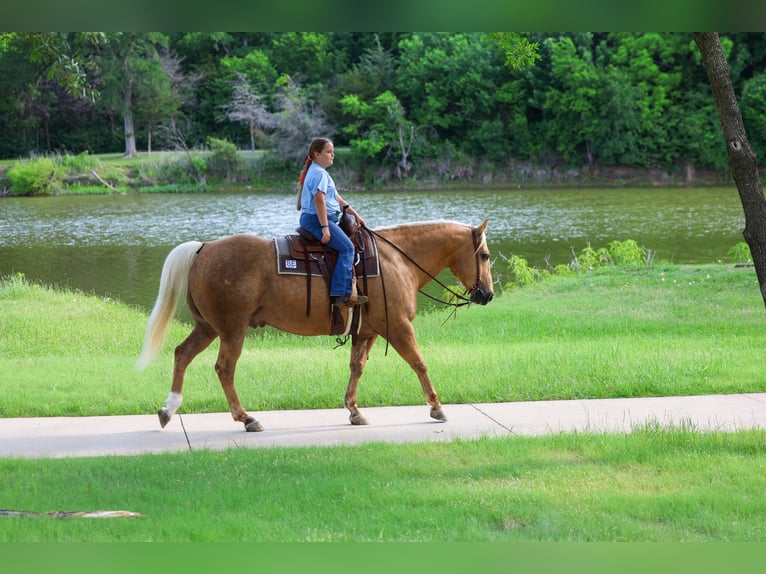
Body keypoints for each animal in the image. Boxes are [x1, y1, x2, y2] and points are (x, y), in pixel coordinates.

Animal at [137, 219, 494, 431]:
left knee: (182, 354)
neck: (398, 260)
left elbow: (357, 367)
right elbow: (419, 363)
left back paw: (169, 409)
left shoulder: (367, 331)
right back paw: (246, 418)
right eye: (485, 255)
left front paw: (354, 411)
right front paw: (436, 407)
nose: (488, 294)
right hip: (231, 329)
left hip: (208, 326)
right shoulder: (399, 328)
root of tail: (204, 247)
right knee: (224, 368)